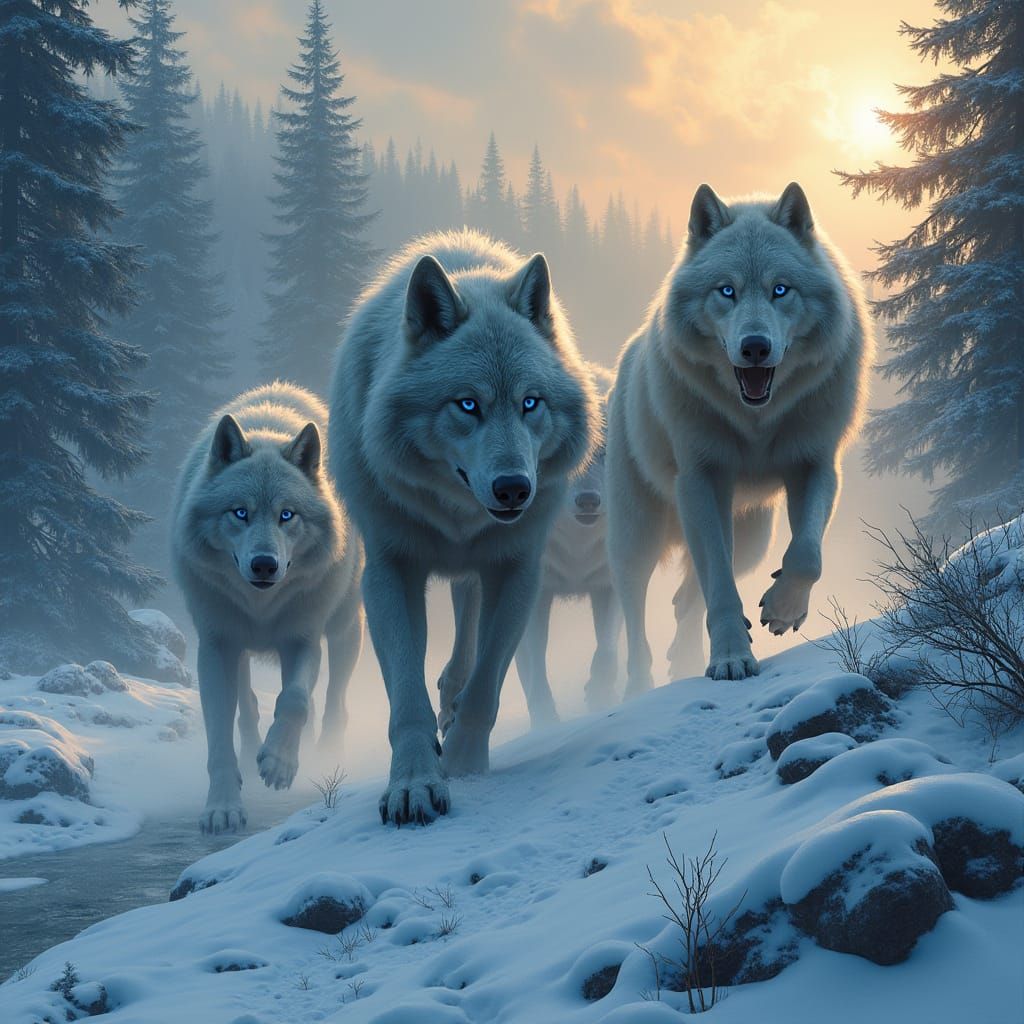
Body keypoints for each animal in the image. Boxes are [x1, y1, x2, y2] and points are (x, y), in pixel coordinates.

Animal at [172, 383, 363, 833]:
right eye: (240, 512)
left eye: (286, 515)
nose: (264, 564)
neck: (261, 605)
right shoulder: (216, 646)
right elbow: (219, 735)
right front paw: (223, 807)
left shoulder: (303, 638)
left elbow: (295, 700)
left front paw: (279, 763)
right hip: (237, 648)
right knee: (248, 707)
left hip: (345, 628)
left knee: (334, 702)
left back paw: (325, 749)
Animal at [329, 230, 598, 825]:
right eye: (468, 404)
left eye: (530, 403)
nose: (514, 488)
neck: (458, 518)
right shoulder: (390, 571)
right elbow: (406, 698)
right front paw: (414, 784)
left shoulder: (517, 567)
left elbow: (485, 686)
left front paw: (463, 763)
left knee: (466, 644)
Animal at [606, 182, 871, 687]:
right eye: (726, 291)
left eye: (780, 290)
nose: (755, 348)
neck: (756, 421)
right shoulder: (701, 479)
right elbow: (721, 588)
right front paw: (730, 658)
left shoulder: (816, 464)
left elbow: (807, 555)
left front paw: (783, 609)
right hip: (639, 536)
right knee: (633, 614)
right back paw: (638, 684)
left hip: (752, 538)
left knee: (687, 595)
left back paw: (683, 658)